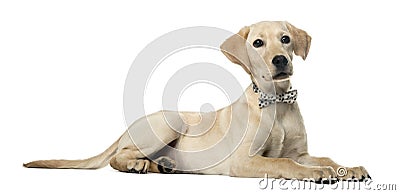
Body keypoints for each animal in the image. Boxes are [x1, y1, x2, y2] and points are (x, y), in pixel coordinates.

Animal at [23, 21, 370, 181]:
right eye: (258, 43)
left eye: (285, 39)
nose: (281, 60)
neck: (276, 101)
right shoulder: (244, 160)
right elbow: (282, 163)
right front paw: (315, 174)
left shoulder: (302, 152)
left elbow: (324, 158)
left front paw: (348, 168)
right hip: (171, 121)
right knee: (118, 156)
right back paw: (137, 164)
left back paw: (162, 165)